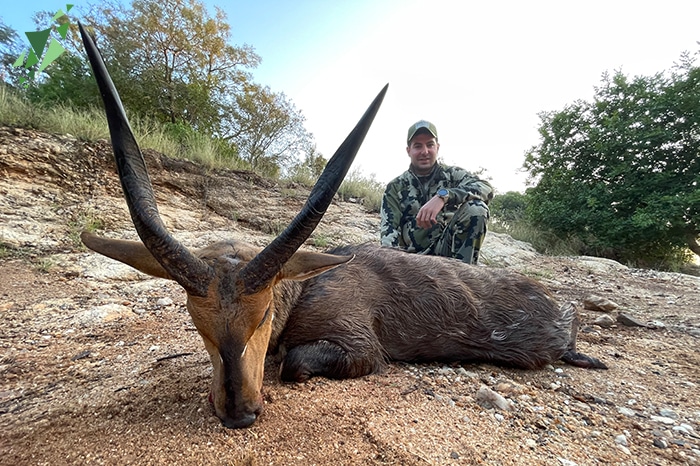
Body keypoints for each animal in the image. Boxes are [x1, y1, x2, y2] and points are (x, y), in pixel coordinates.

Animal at [78, 23, 608, 428]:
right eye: (195, 321)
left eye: (264, 314)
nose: (239, 413)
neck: (306, 288)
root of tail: (560, 307)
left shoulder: (361, 348)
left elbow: (293, 363)